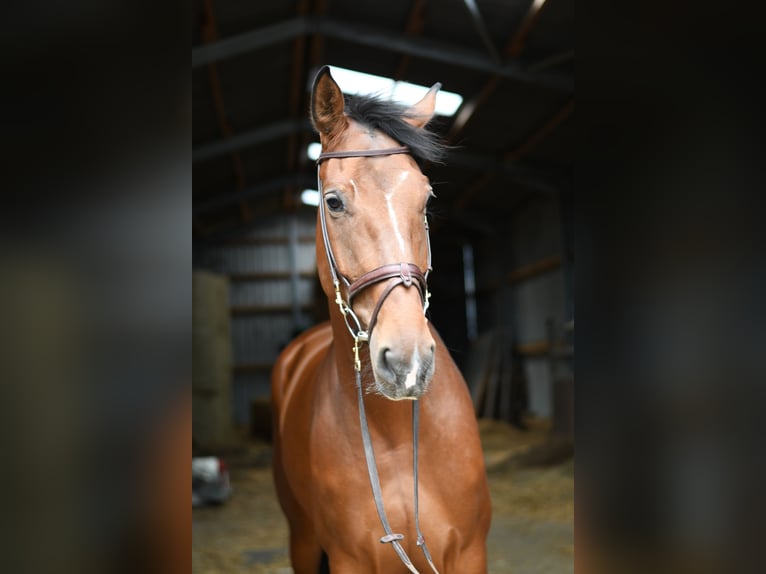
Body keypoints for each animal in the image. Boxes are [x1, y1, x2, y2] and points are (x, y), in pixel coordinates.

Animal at [271, 66, 491, 574]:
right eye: (332, 202)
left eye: (426, 199)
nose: (407, 362)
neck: (393, 440)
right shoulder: (348, 560)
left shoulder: (470, 552)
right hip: (302, 541)